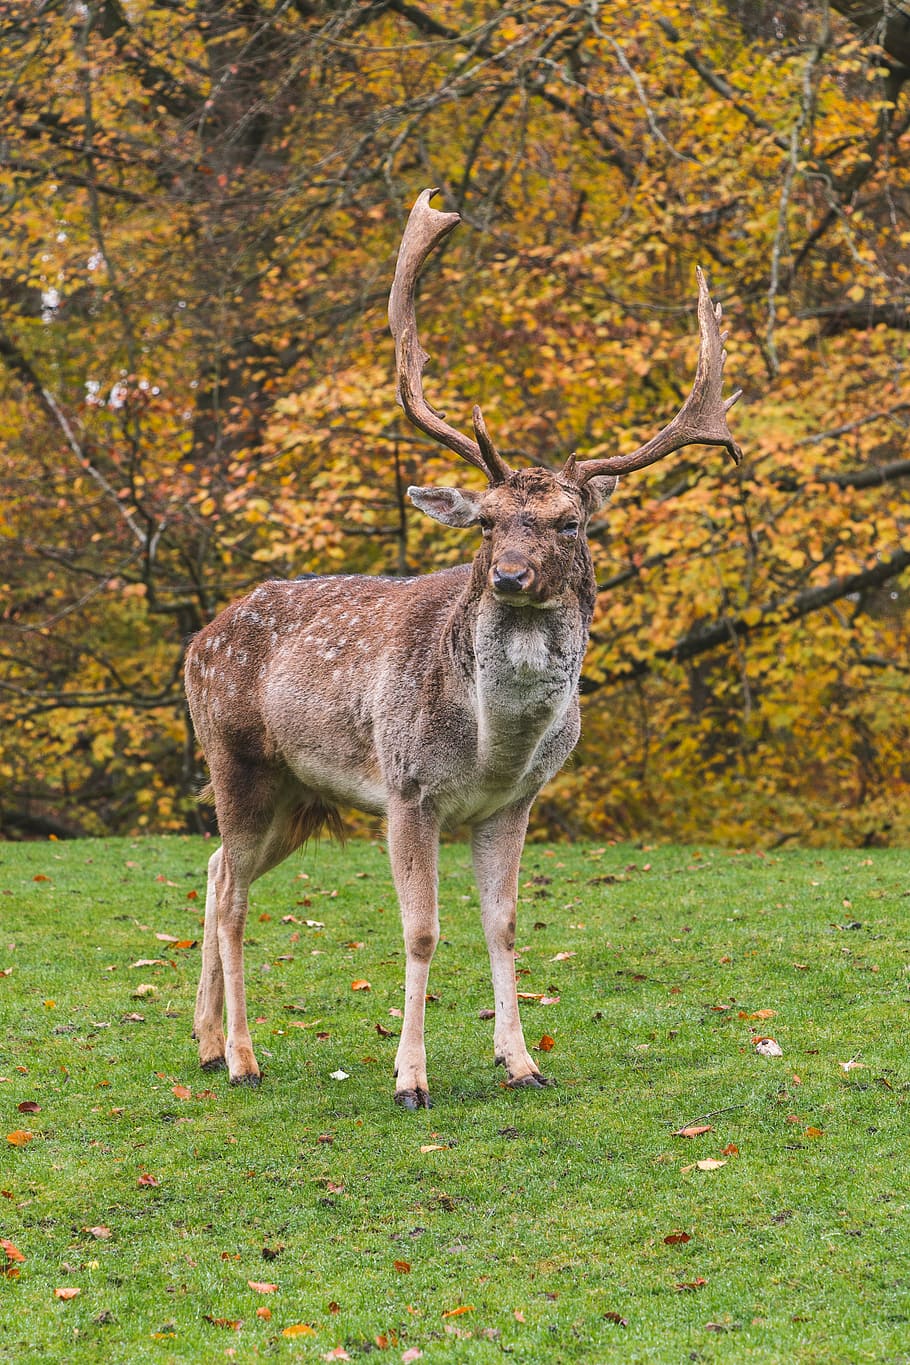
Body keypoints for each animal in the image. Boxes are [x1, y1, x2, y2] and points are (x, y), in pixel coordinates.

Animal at [184, 188, 742, 1109]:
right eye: (485, 522)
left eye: (570, 522)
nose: (512, 574)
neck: (491, 747)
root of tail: (197, 641)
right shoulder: (409, 790)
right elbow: (420, 930)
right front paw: (410, 1078)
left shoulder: (514, 803)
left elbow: (504, 924)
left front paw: (522, 1061)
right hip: (235, 757)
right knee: (231, 894)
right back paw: (240, 1056)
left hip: (299, 796)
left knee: (217, 868)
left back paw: (200, 1042)